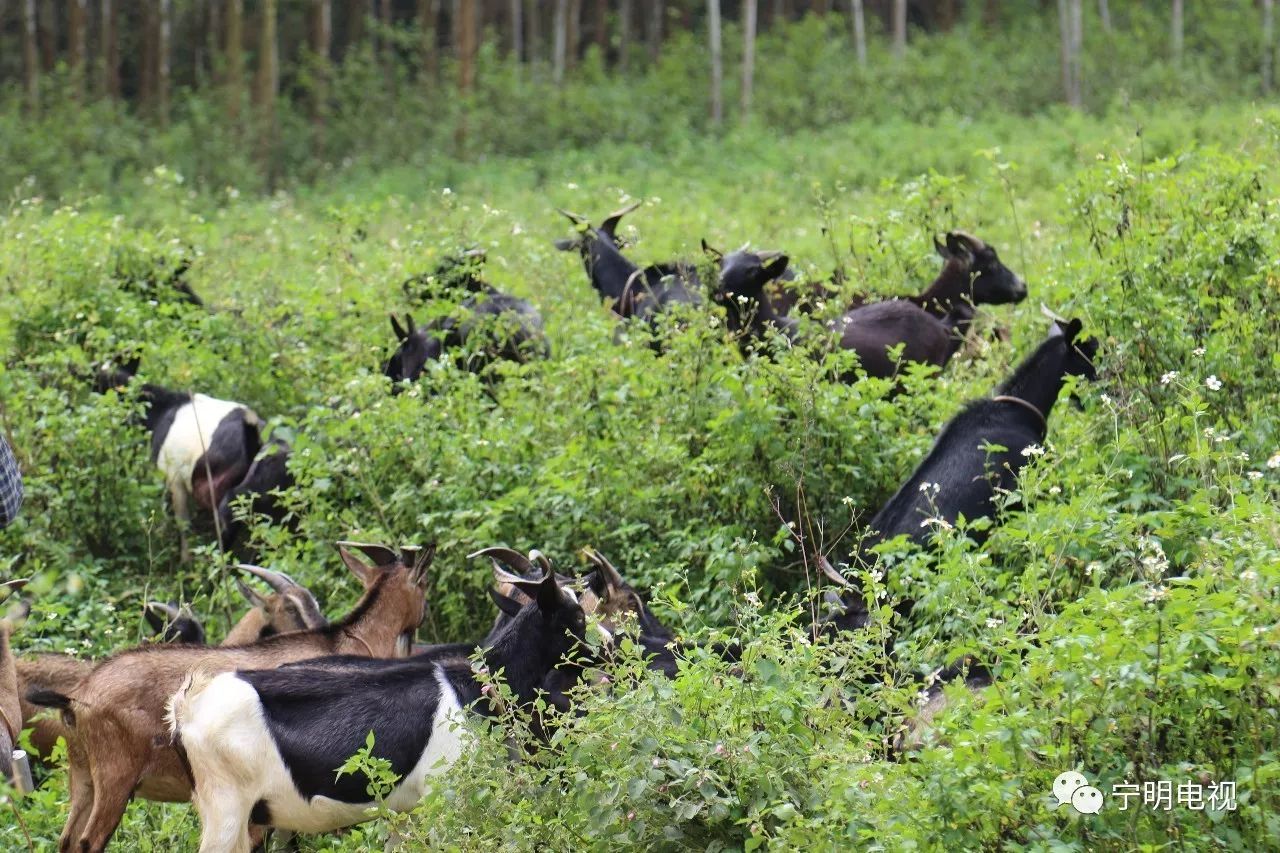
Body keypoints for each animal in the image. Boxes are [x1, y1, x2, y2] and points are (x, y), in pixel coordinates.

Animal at [24, 540, 432, 845]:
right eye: (424, 583)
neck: (350, 639)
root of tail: (78, 697)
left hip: (83, 778)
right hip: (115, 777)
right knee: (87, 842)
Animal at [97, 353, 264, 558]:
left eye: (99, 384)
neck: (163, 410)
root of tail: (254, 442)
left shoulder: (173, 478)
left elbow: (181, 522)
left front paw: (183, 559)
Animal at [167, 563, 586, 845]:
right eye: (579, 617)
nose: (604, 647)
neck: (475, 685)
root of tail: (189, 702)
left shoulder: (402, 811)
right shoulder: (446, 795)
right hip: (226, 811)